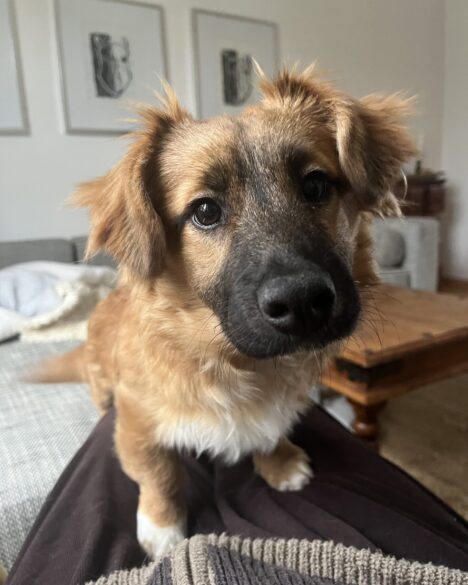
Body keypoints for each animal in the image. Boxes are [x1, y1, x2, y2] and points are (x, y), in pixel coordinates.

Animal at [34, 66, 415, 558]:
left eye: (315, 185)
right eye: (205, 211)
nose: (302, 302)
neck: (237, 362)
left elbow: (271, 428)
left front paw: (279, 462)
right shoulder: (136, 423)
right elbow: (159, 473)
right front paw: (162, 526)